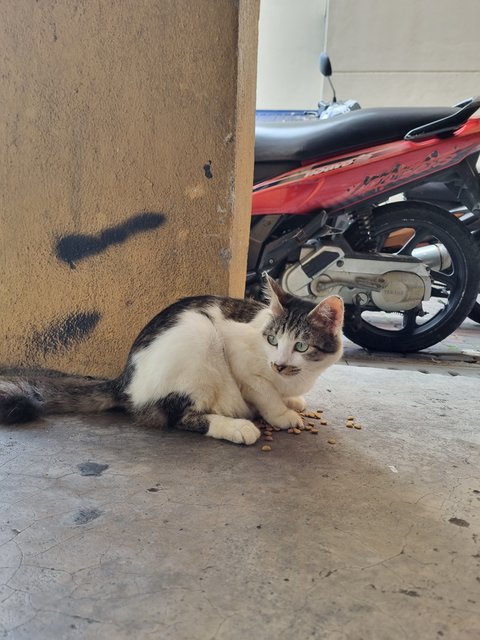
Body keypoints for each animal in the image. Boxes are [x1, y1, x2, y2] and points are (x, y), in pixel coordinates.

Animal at [0, 278, 344, 448]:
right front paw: (282, 414)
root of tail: (124, 380)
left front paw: (292, 400)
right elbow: (264, 392)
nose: (280, 364)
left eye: (301, 346)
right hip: (197, 335)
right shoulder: (240, 358)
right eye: (272, 340)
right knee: (176, 415)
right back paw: (237, 428)